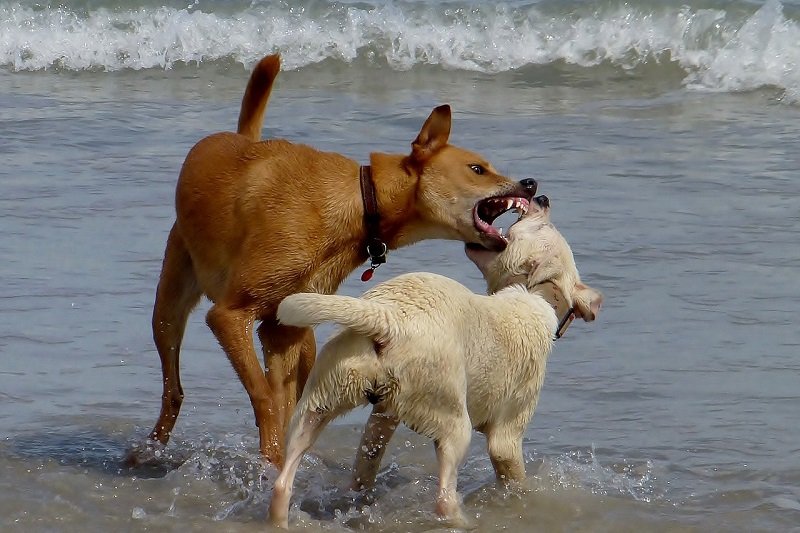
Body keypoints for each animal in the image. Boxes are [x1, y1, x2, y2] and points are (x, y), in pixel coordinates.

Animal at [126, 55, 536, 466]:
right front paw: (270, 462)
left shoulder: (280, 331)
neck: (361, 202)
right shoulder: (229, 315)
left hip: (303, 330)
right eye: (478, 169)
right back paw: (149, 448)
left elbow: (282, 400)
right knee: (173, 388)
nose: (531, 183)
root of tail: (241, 138)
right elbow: (264, 396)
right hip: (169, 309)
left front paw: (277, 464)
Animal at [268, 193, 600, 524]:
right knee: (444, 498)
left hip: (322, 397)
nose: (542, 197)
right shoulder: (507, 436)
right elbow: (515, 477)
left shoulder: (385, 413)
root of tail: (388, 318)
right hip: (453, 420)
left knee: (286, 483)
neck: (536, 293)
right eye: (546, 225)